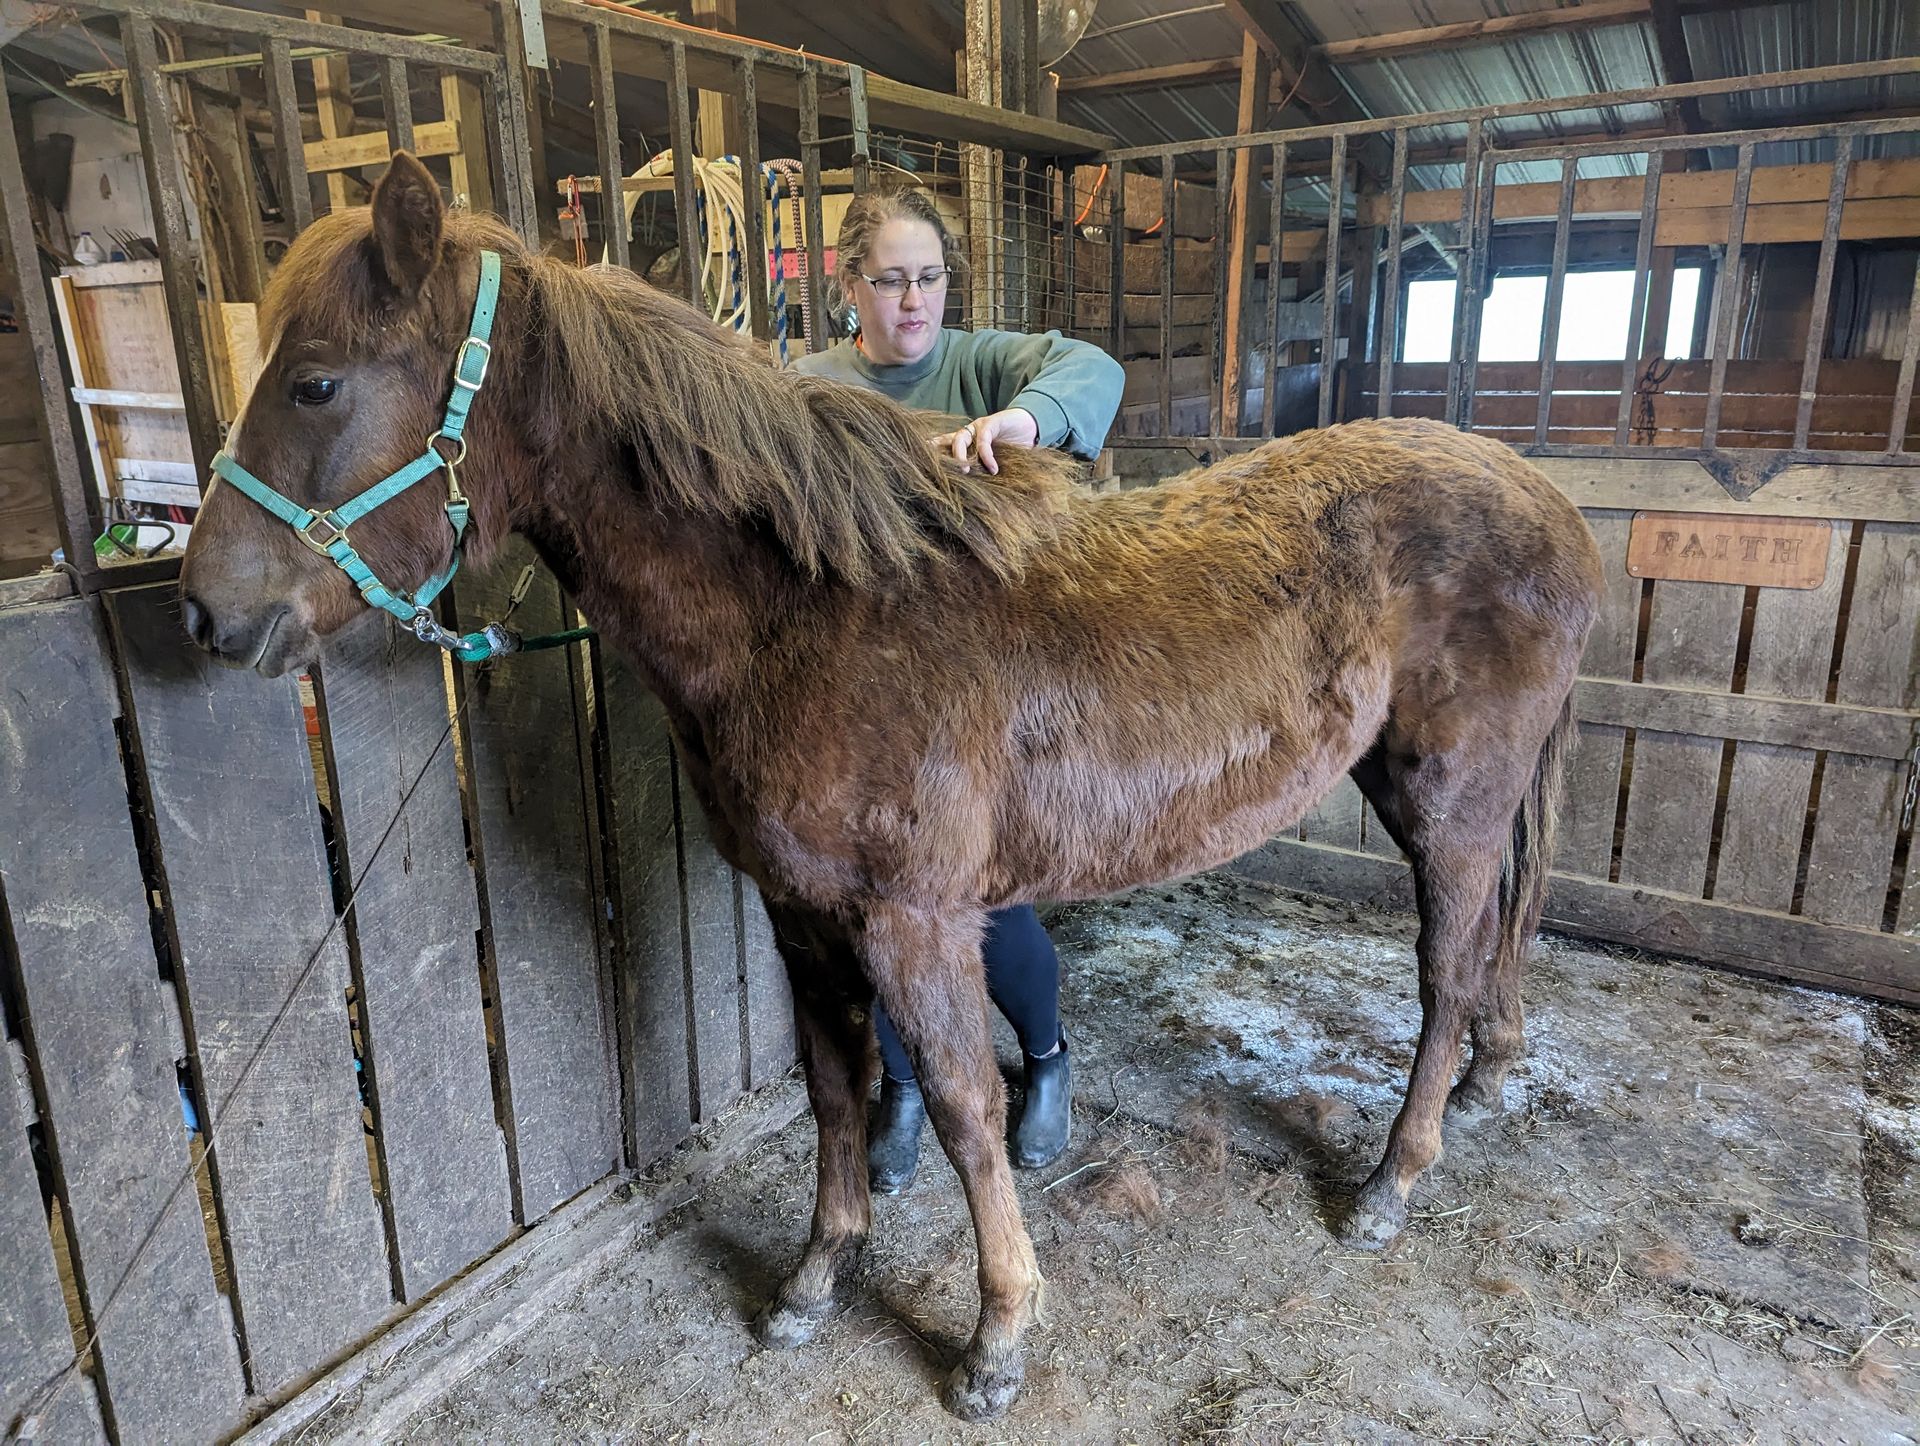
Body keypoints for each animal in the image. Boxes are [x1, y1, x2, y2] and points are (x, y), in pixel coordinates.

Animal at [179, 153, 1604, 1422]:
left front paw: (998, 1338)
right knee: (1493, 944)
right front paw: (817, 1277)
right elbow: (834, 1091)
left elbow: (970, 1108)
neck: (813, 614)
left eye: (314, 382)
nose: (204, 613)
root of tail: (1549, 498)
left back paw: (1391, 1184)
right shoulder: (803, 915)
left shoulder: (913, 921)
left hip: (1447, 801)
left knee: (1446, 966)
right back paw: (1487, 1078)